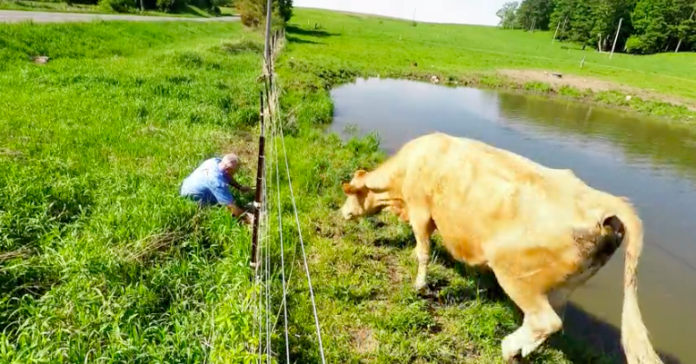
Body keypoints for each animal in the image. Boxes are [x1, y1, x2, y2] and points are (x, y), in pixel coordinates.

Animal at [342, 132, 664, 364]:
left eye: (351, 195)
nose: (341, 212)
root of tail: (608, 204)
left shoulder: (421, 209)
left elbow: (423, 249)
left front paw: (419, 285)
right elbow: (423, 244)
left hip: (515, 274)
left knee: (546, 320)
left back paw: (509, 347)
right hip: (563, 285)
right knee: (551, 319)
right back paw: (521, 349)